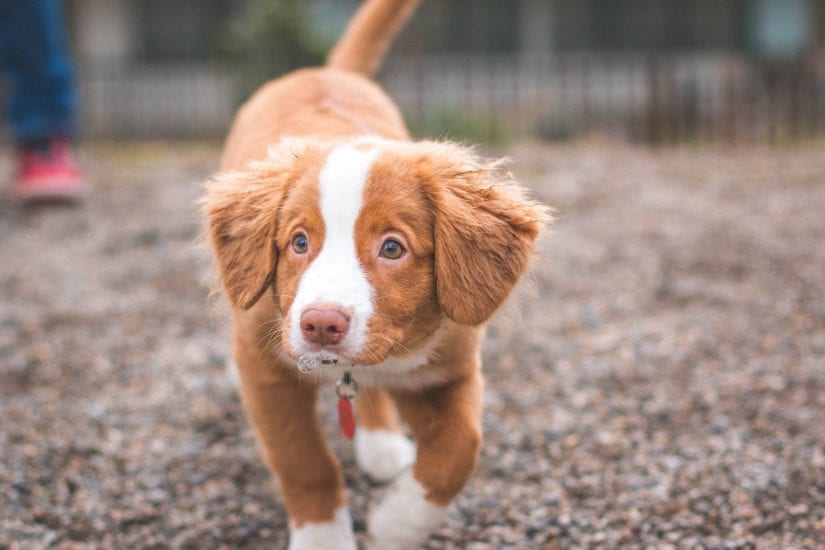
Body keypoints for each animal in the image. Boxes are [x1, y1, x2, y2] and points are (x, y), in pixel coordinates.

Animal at [201, 2, 548, 548]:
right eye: (299, 242)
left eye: (392, 248)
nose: (321, 324)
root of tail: (328, 71)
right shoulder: (264, 366)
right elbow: (303, 459)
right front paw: (322, 536)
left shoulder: (450, 365)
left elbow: (461, 448)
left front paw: (397, 524)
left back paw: (382, 444)